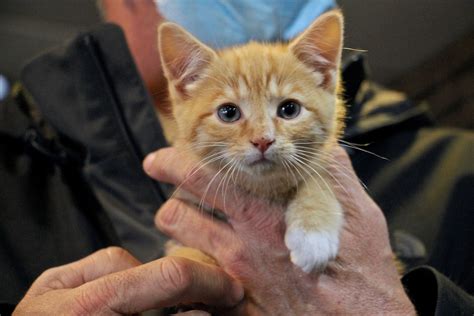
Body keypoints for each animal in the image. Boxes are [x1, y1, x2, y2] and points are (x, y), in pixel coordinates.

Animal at [157, 9, 346, 272]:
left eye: (289, 109)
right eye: (228, 113)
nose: (263, 140)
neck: (263, 188)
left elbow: (318, 177)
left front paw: (312, 233)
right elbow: (188, 253)